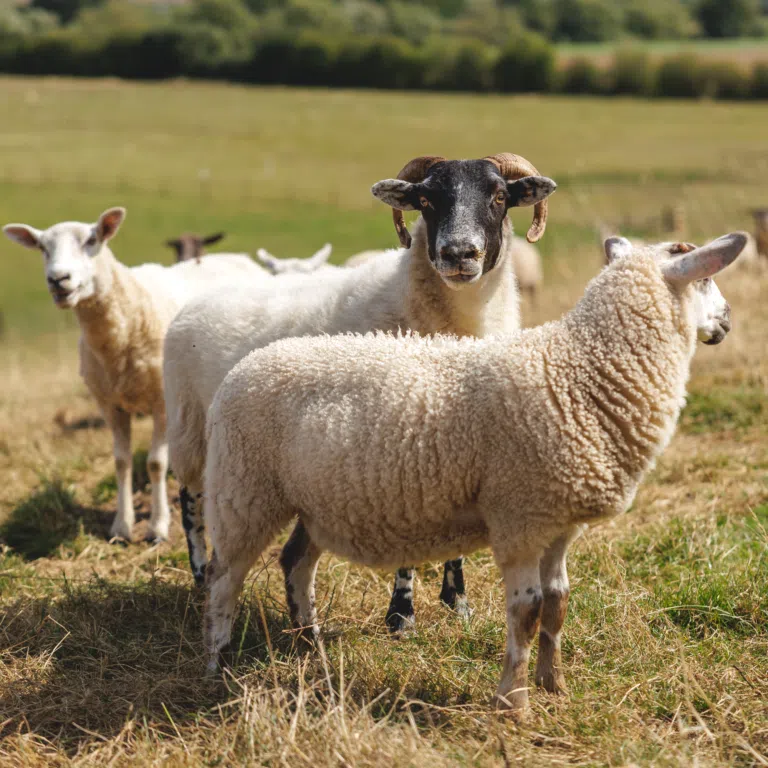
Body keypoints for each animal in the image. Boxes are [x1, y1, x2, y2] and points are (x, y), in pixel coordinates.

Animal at [3, 207, 268, 543]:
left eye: (92, 240)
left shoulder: (163, 404)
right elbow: (121, 461)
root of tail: (233, 257)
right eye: (42, 247)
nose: (58, 279)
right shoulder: (109, 404)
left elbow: (155, 463)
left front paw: (158, 526)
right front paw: (122, 525)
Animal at [163, 153, 557, 633]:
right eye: (426, 200)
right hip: (190, 428)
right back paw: (201, 574)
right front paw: (401, 615)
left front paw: (457, 602)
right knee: (190, 502)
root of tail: (200, 297)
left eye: (499, 196)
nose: (459, 253)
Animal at [202, 231, 745, 717]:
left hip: (315, 502)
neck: (578, 370)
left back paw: (308, 646)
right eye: (705, 278)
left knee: (296, 563)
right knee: (223, 578)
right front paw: (514, 704)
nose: (727, 321)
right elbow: (527, 613)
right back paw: (217, 663)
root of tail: (242, 368)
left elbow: (558, 602)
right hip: (242, 490)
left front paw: (554, 686)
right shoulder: (520, 518)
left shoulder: (558, 522)